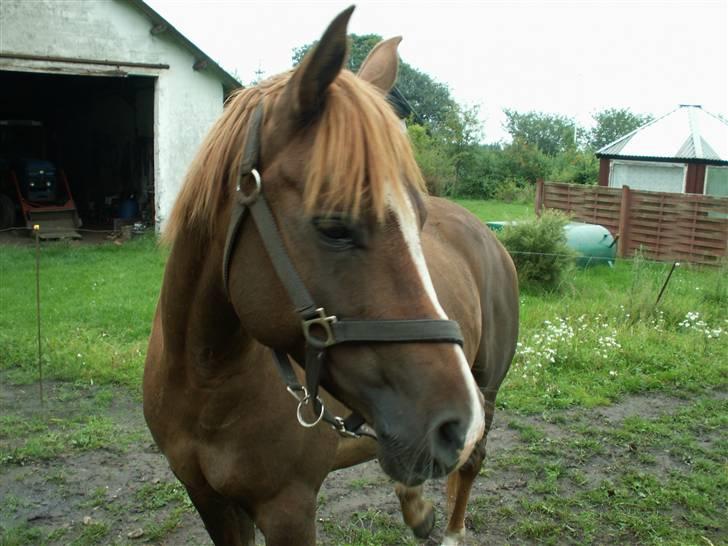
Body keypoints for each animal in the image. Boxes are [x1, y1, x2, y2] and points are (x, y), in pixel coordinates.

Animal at [143, 6, 518, 545]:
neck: (206, 380)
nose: (453, 424)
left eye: (419, 219)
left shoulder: (288, 508)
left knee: (470, 465)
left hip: (486, 391)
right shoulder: (208, 500)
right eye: (334, 226)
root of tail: (489, 237)